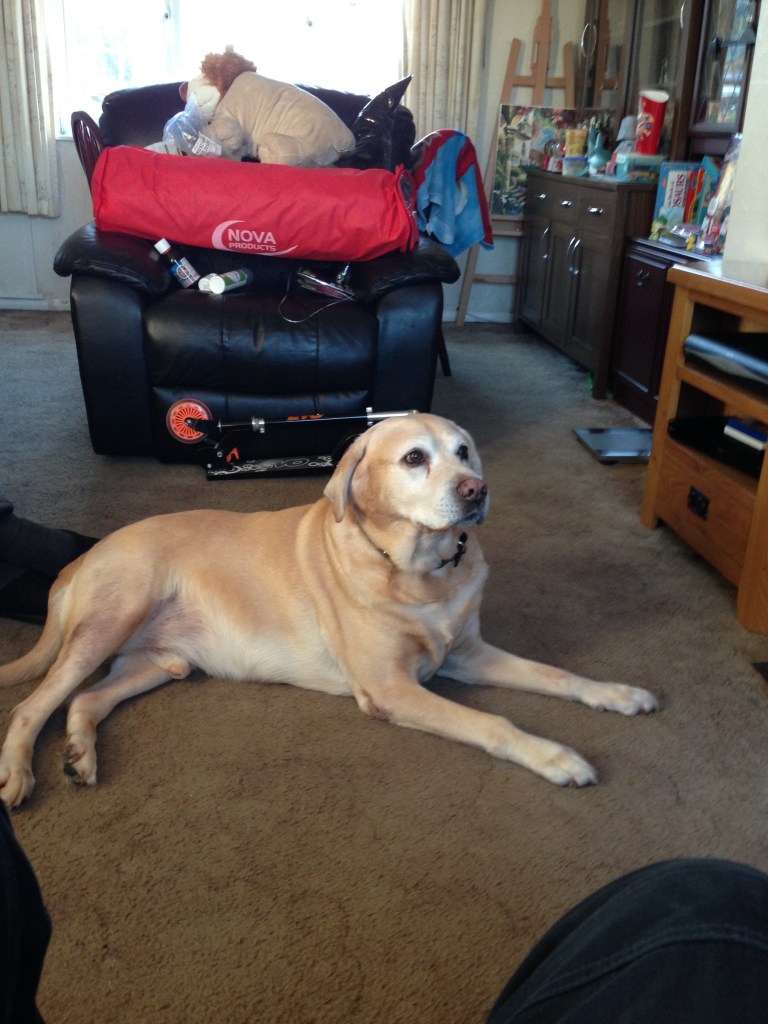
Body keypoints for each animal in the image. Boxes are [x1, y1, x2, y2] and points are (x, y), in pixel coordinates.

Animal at [0, 414, 657, 807]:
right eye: (414, 459)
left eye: (464, 451)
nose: (476, 490)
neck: (419, 574)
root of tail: (86, 554)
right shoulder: (391, 688)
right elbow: (494, 723)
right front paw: (556, 756)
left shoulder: (464, 654)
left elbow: (556, 674)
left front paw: (617, 693)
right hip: (110, 620)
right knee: (33, 706)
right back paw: (19, 773)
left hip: (161, 663)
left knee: (84, 701)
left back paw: (80, 754)